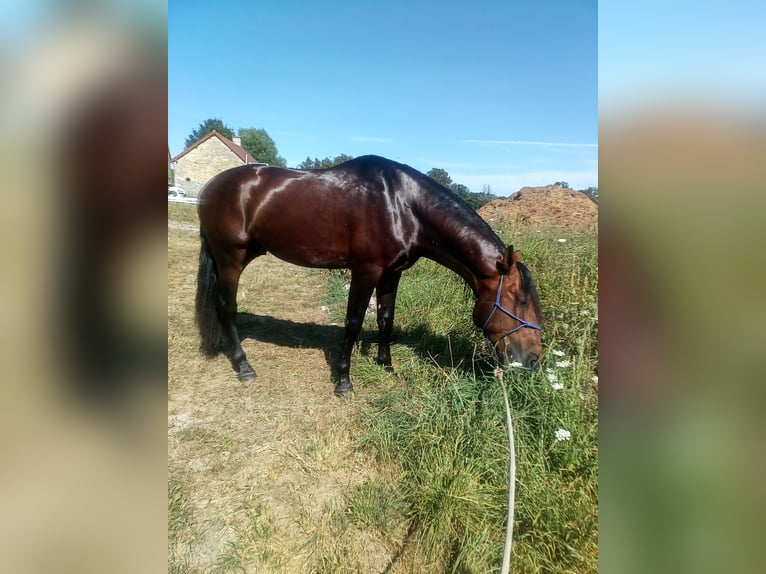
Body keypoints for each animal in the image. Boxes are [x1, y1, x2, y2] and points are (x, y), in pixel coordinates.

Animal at [198, 155, 544, 396]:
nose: (533, 360)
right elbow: (353, 323)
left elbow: (385, 319)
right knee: (226, 307)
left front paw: (386, 364)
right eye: (521, 300)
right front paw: (343, 381)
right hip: (230, 257)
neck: (402, 205)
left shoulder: (392, 273)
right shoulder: (366, 270)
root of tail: (210, 187)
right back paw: (243, 365)